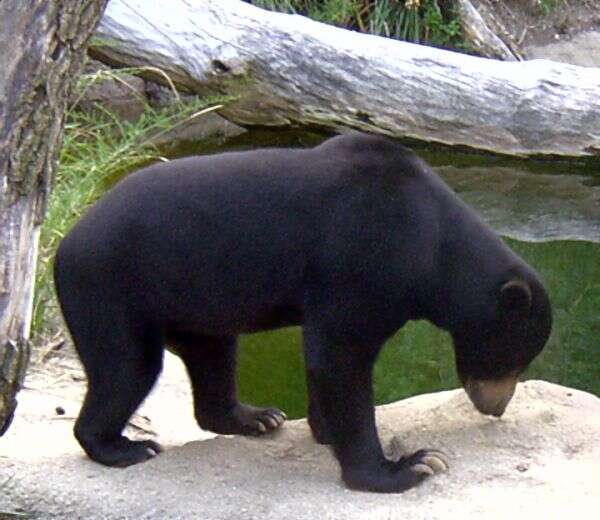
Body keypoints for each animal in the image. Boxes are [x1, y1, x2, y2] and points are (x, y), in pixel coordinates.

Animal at [54, 133, 552, 492]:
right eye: (511, 358)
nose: (496, 407)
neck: (430, 247)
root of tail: (65, 242)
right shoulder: (360, 257)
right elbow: (339, 356)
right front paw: (410, 466)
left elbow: (323, 359)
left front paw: (326, 430)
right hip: (111, 287)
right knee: (127, 366)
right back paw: (124, 448)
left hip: (195, 298)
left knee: (213, 356)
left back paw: (255, 417)